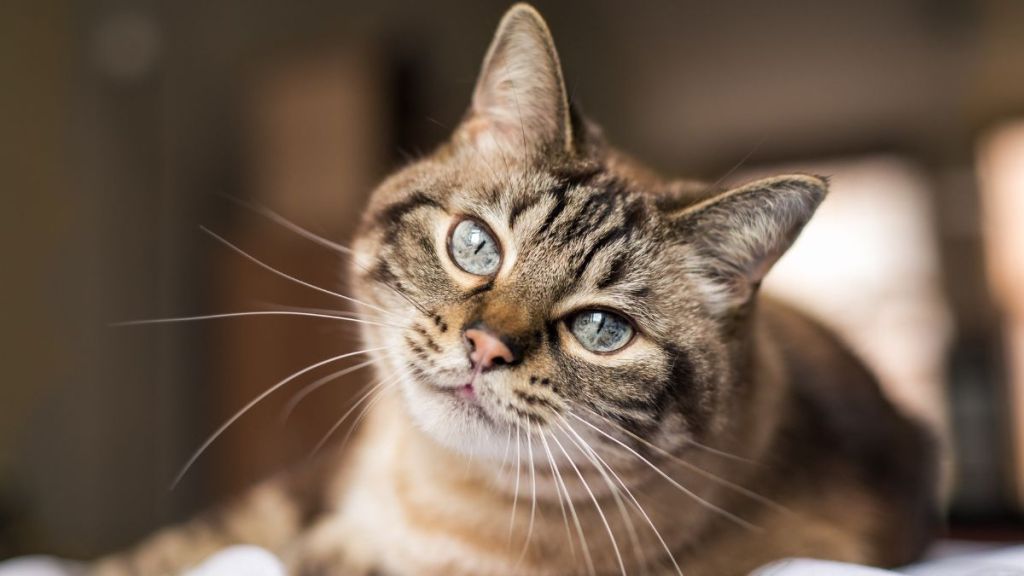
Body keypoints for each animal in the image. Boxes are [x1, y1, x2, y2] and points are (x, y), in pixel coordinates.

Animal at [96, 4, 937, 573]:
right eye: (476, 246)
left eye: (601, 331)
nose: (484, 346)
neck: (429, 495)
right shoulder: (299, 493)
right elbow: (163, 554)